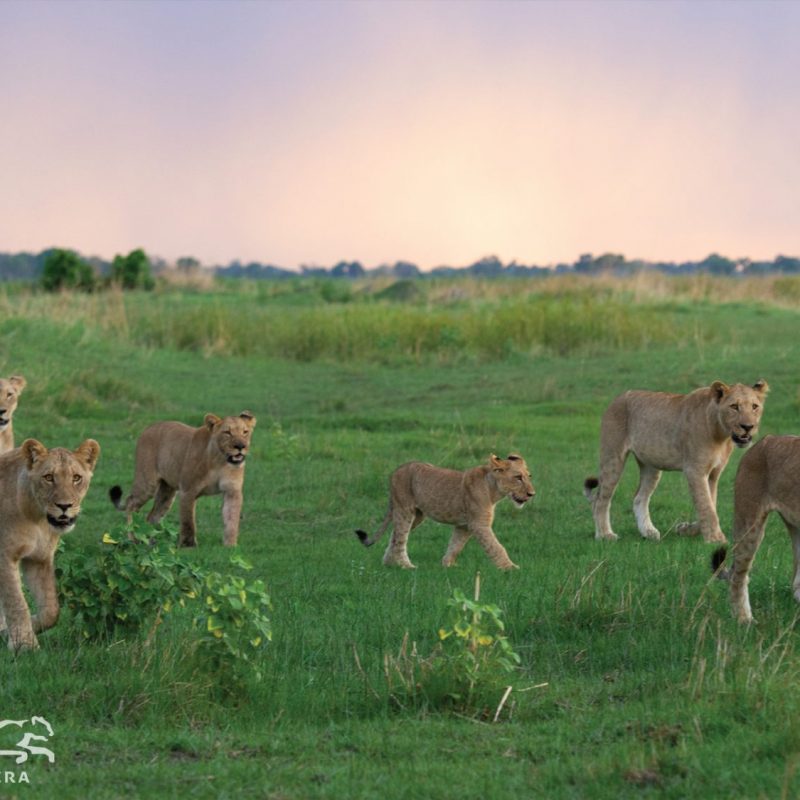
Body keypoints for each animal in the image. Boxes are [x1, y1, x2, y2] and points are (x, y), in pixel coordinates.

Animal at [0, 438, 100, 651]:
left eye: (76, 478)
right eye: (48, 477)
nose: (64, 506)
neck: (36, 518)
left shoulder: (39, 559)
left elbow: (52, 610)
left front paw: (14, 632)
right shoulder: (4, 556)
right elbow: (16, 602)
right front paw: (24, 645)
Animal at [110, 411, 256, 547]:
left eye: (245, 432)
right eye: (227, 432)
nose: (240, 446)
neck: (220, 461)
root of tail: (149, 427)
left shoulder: (232, 491)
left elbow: (231, 520)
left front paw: (230, 546)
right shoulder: (188, 490)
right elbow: (188, 522)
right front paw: (188, 546)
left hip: (167, 493)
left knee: (152, 516)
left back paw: (149, 541)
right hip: (147, 483)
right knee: (130, 503)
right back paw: (133, 539)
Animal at [355, 454, 535, 570]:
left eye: (528, 476)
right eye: (518, 477)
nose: (531, 494)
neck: (494, 491)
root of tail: (397, 471)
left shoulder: (464, 526)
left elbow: (455, 545)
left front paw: (447, 565)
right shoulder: (479, 524)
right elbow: (496, 546)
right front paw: (510, 568)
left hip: (417, 515)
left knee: (395, 535)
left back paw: (389, 562)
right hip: (405, 510)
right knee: (400, 539)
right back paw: (407, 566)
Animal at [584, 380, 768, 543]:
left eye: (754, 406)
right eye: (734, 406)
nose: (748, 427)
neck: (721, 435)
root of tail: (618, 398)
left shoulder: (714, 474)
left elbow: (710, 504)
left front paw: (686, 529)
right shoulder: (695, 470)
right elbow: (706, 507)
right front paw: (716, 539)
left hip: (651, 466)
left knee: (639, 497)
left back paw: (648, 532)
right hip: (613, 456)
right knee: (600, 499)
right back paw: (605, 535)